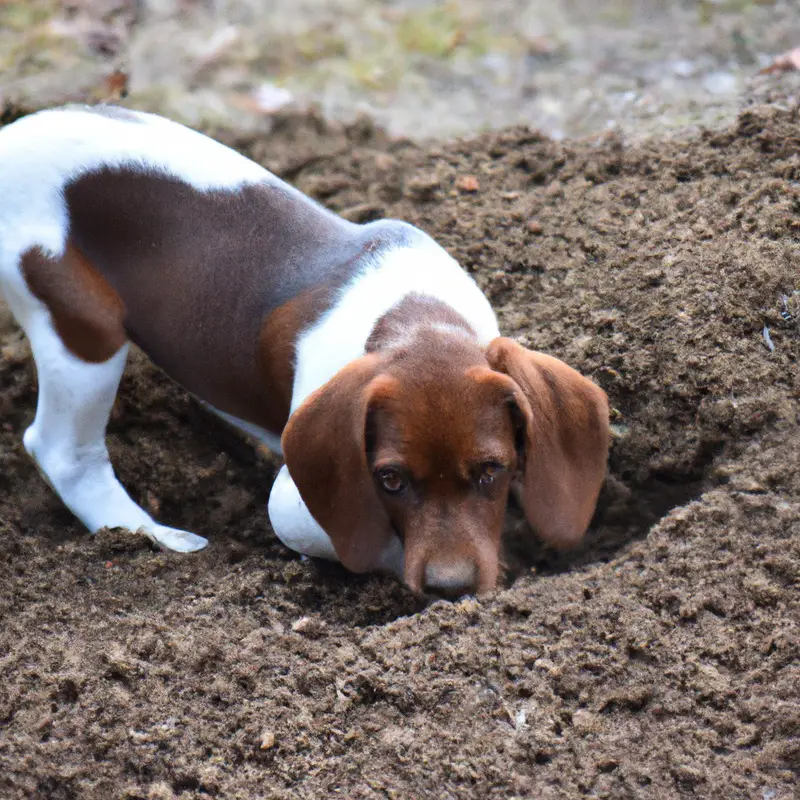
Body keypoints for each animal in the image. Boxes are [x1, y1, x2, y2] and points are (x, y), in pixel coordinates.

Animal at [0, 104, 608, 592]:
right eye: (390, 479)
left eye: (490, 471)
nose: (450, 589)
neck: (416, 319)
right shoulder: (297, 501)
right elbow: (361, 538)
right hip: (80, 327)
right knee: (62, 449)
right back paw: (147, 533)